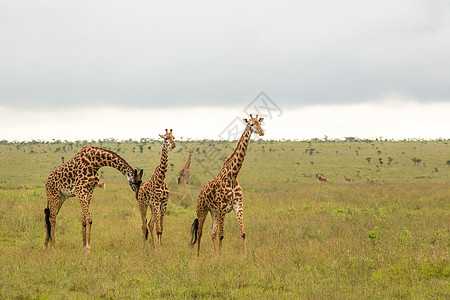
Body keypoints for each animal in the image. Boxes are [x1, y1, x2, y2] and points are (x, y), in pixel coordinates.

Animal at [189, 114, 264, 255]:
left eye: (260, 123)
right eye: (251, 124)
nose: (261, 132)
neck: (233, 175)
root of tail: (200, 192)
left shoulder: (238, 205)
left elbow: (243, 233)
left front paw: (245, 256)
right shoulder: (223, 207)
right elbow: (221, 235)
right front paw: (222, 256)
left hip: (214, 212)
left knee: (211, 232)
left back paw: (215, 255)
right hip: (202, 209)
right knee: (200, 231)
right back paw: (198, 255)